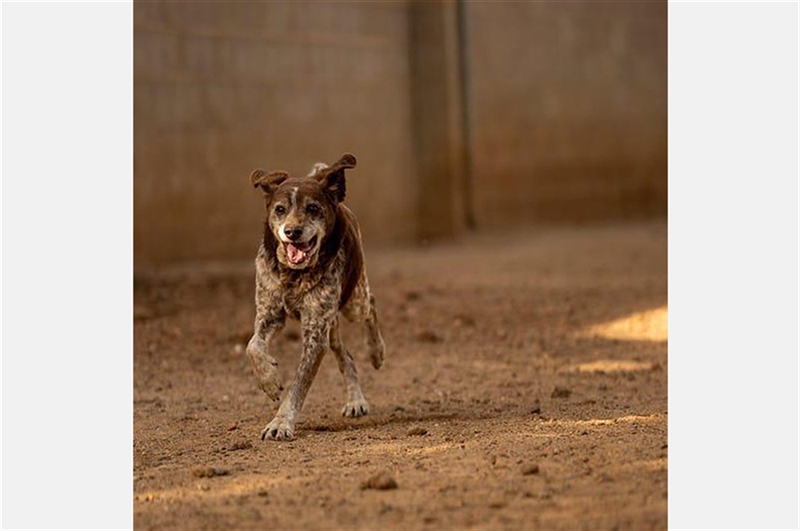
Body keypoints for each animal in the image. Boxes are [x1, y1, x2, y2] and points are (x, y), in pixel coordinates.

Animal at [246, 153, 386, 441]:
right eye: (279, 209)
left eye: (312, 208)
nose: (292, 232)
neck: (293, 274)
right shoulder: (269, 315)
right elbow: (252, 346)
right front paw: (269, 380)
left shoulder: (314, 335)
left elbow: (298, 385)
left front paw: (280, 423)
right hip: (330, 327)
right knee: (346, 356)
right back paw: (355, 400)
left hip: (352, 303)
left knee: (371, 305)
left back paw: (375, 351)